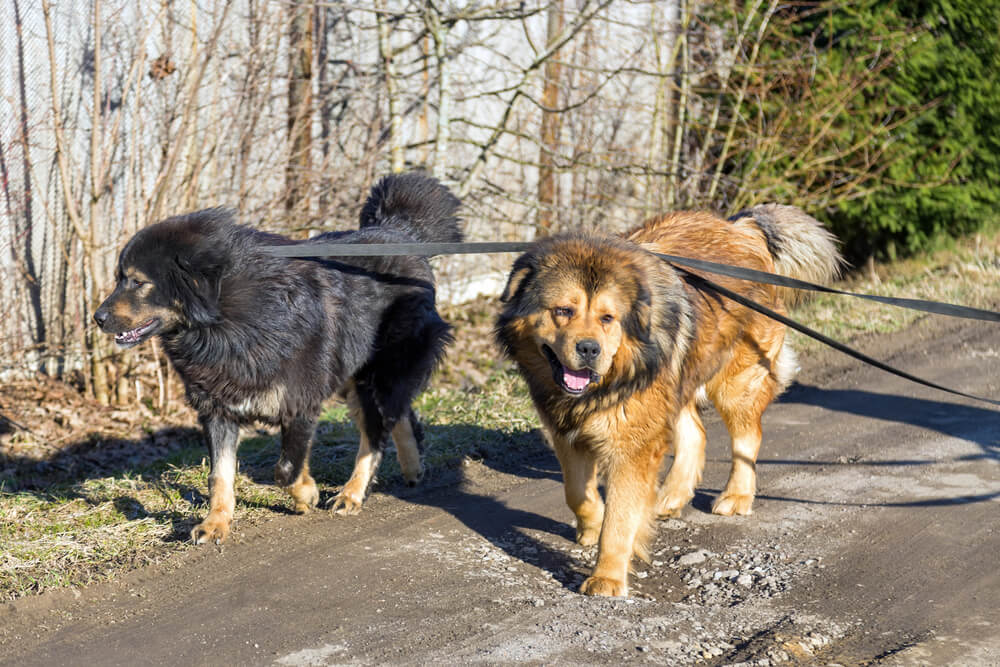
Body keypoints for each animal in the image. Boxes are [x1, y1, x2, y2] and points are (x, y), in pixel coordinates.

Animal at [94, 172, 460, 544]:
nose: (97, 318)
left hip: (378, 373)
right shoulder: (217, 408)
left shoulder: (299, 401)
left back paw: (352, 492)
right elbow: (220, 475)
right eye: (120, 279)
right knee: (397, 416)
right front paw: (216, 522)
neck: (225, 320)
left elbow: (284, 469)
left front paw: (306, 493)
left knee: (375, 435)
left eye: (137, 281)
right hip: (355, 379)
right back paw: (412, 467)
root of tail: (401, 230)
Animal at [496, 206, 840, 596]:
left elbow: (620, 517)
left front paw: (608, 575)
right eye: (563, 311)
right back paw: (671, 497)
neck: (610, 378)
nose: (588, 349)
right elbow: (576, 494)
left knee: (746, 439)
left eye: (607, 318)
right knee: (696, 434)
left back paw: (736, 496)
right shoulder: (567, 434)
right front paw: (592, 525)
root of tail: (742, 229)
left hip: (734, 381)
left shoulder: (631, 444)